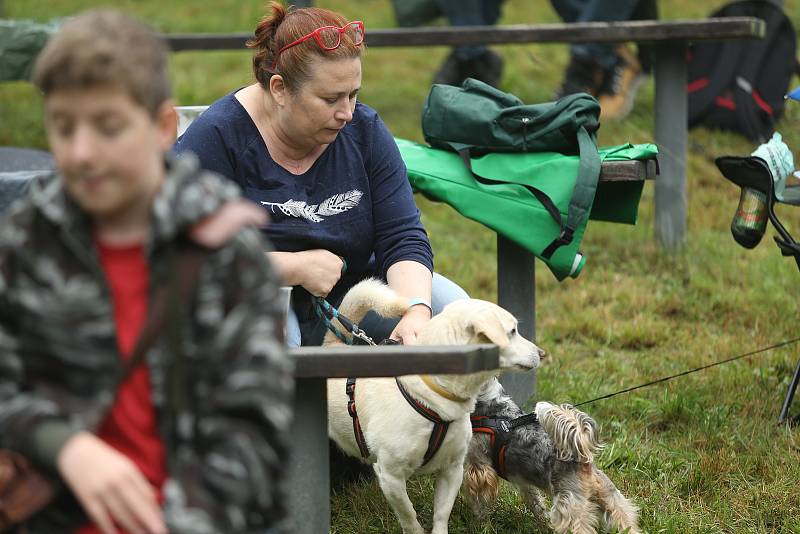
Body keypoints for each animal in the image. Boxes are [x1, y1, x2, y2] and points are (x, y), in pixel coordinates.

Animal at [324, 280, 544, 534]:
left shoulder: (453, 469)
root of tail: (332, 345)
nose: (542, 354)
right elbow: (409, 515)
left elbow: (441, 513)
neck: (434, 400)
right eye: (512, 331)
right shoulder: (390, 477)